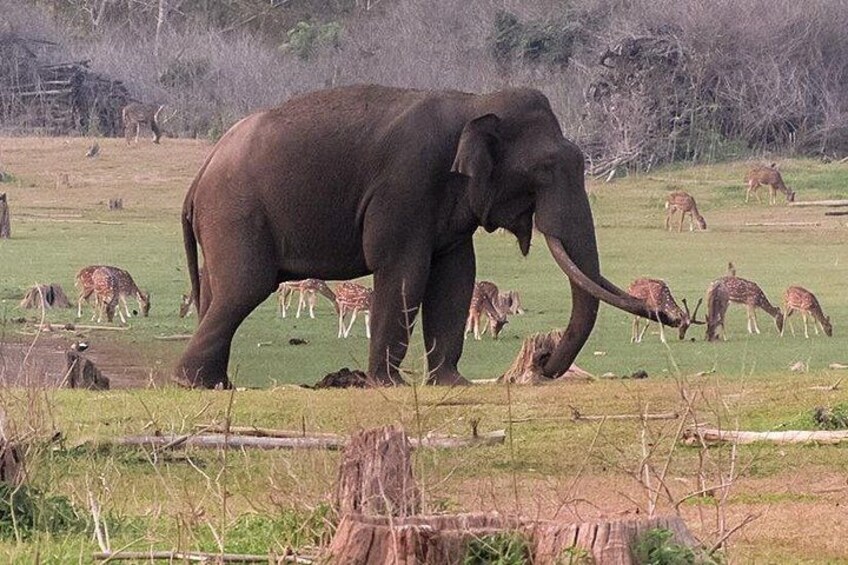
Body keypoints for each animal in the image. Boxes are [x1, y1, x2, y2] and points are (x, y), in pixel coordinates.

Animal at [177, 84, 675, 389]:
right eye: (546, 170)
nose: (544, 362)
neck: (474, 103)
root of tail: (198, 177)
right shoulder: (406, 185)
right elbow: (404, 271)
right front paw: (387, 384)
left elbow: (455, 276)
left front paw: (452, 382)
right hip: (237, 216)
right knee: (243, 289)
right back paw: (193, 383)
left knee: (220, 292)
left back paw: (214, 384)